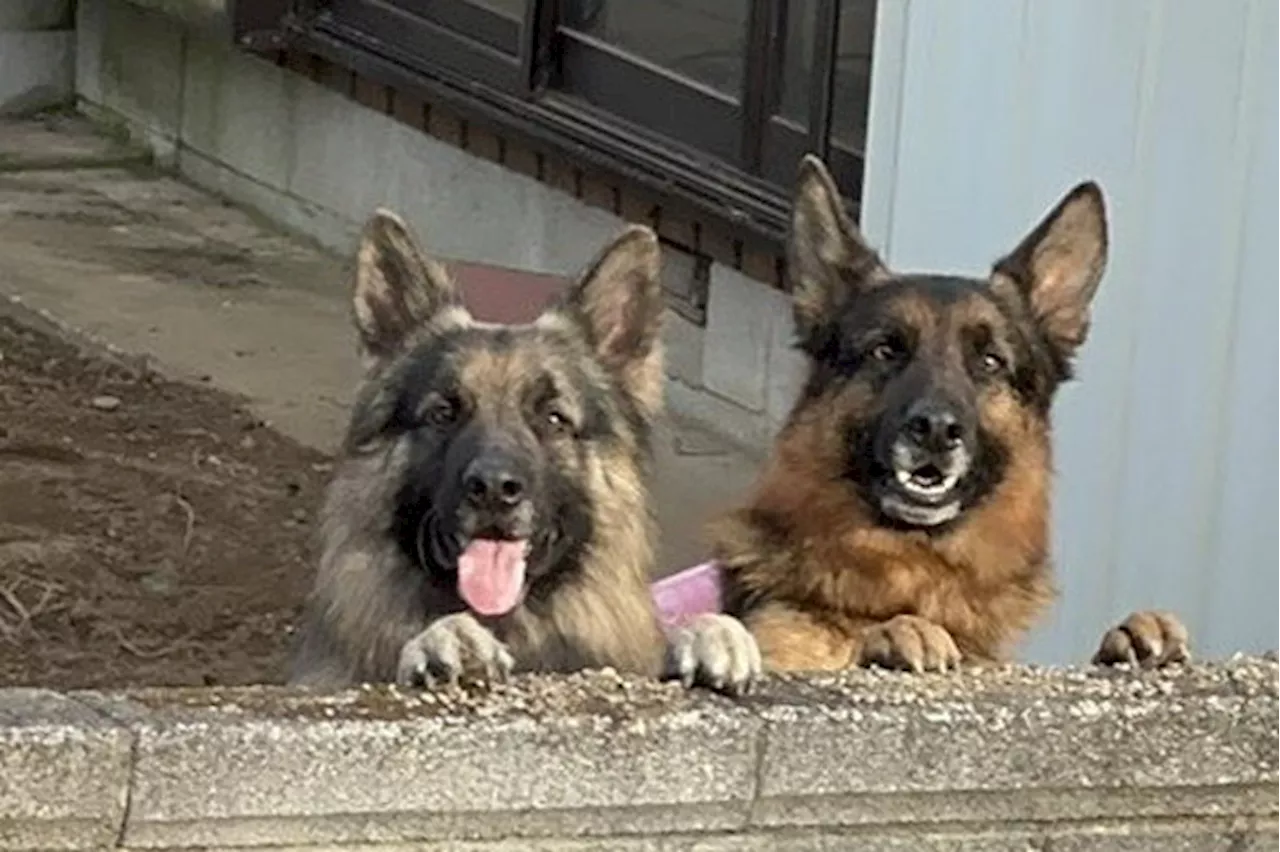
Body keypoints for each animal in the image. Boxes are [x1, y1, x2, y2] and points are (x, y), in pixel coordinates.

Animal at [711, 154, 1187, 670]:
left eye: (990, 361)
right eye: (885, 350)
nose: (936, 430)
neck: (915, 572)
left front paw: (1129, 637)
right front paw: (897, 633)